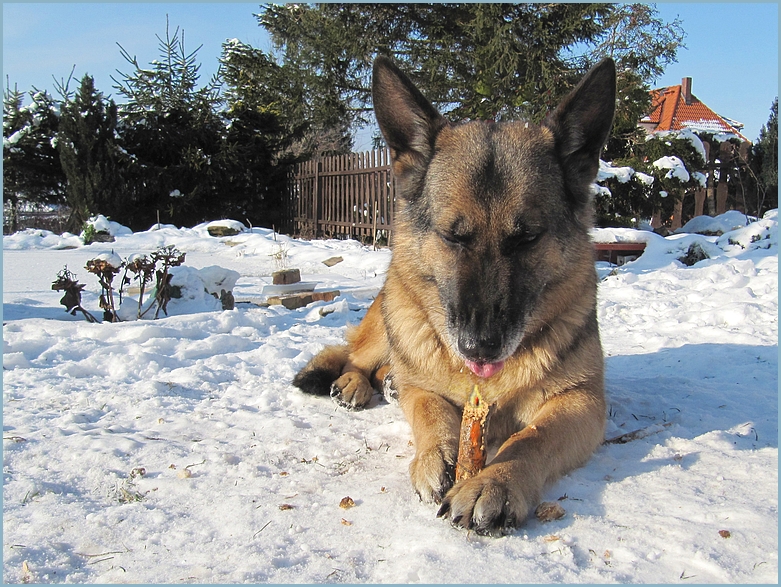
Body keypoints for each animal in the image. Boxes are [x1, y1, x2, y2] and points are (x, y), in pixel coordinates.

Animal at [292, 56, 616, 536]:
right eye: (452, 236)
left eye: (527, 238)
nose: (480, 346)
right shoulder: (424, 387)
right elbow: (429, 407)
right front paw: (435, 454)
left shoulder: (583, 403)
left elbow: (530, 437)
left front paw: (495, 482)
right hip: (392, 317)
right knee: (356, 357)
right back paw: (354, 383)